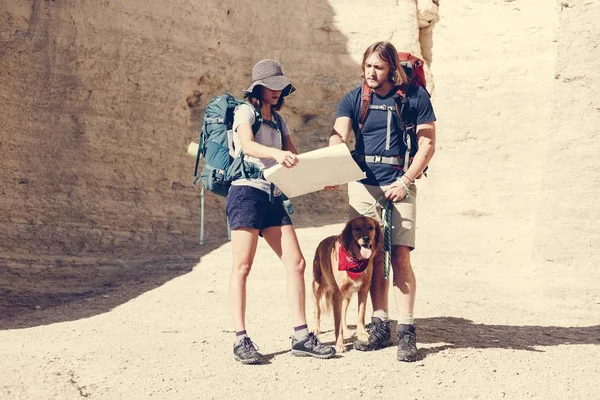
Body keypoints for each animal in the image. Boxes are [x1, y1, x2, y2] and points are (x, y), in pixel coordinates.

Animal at [312, 217, 382, 352]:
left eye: (371, 227)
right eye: (357, 228)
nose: (366, 238)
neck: (355, 261)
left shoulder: (364, 289)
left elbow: (360, 314)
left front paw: (362, 334)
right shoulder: (336, 294)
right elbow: (336, 322)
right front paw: (339, 343)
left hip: (347, 296)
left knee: (343, 313)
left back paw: (346, 330)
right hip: (317, 288)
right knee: (317, 309)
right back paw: (316, 328)